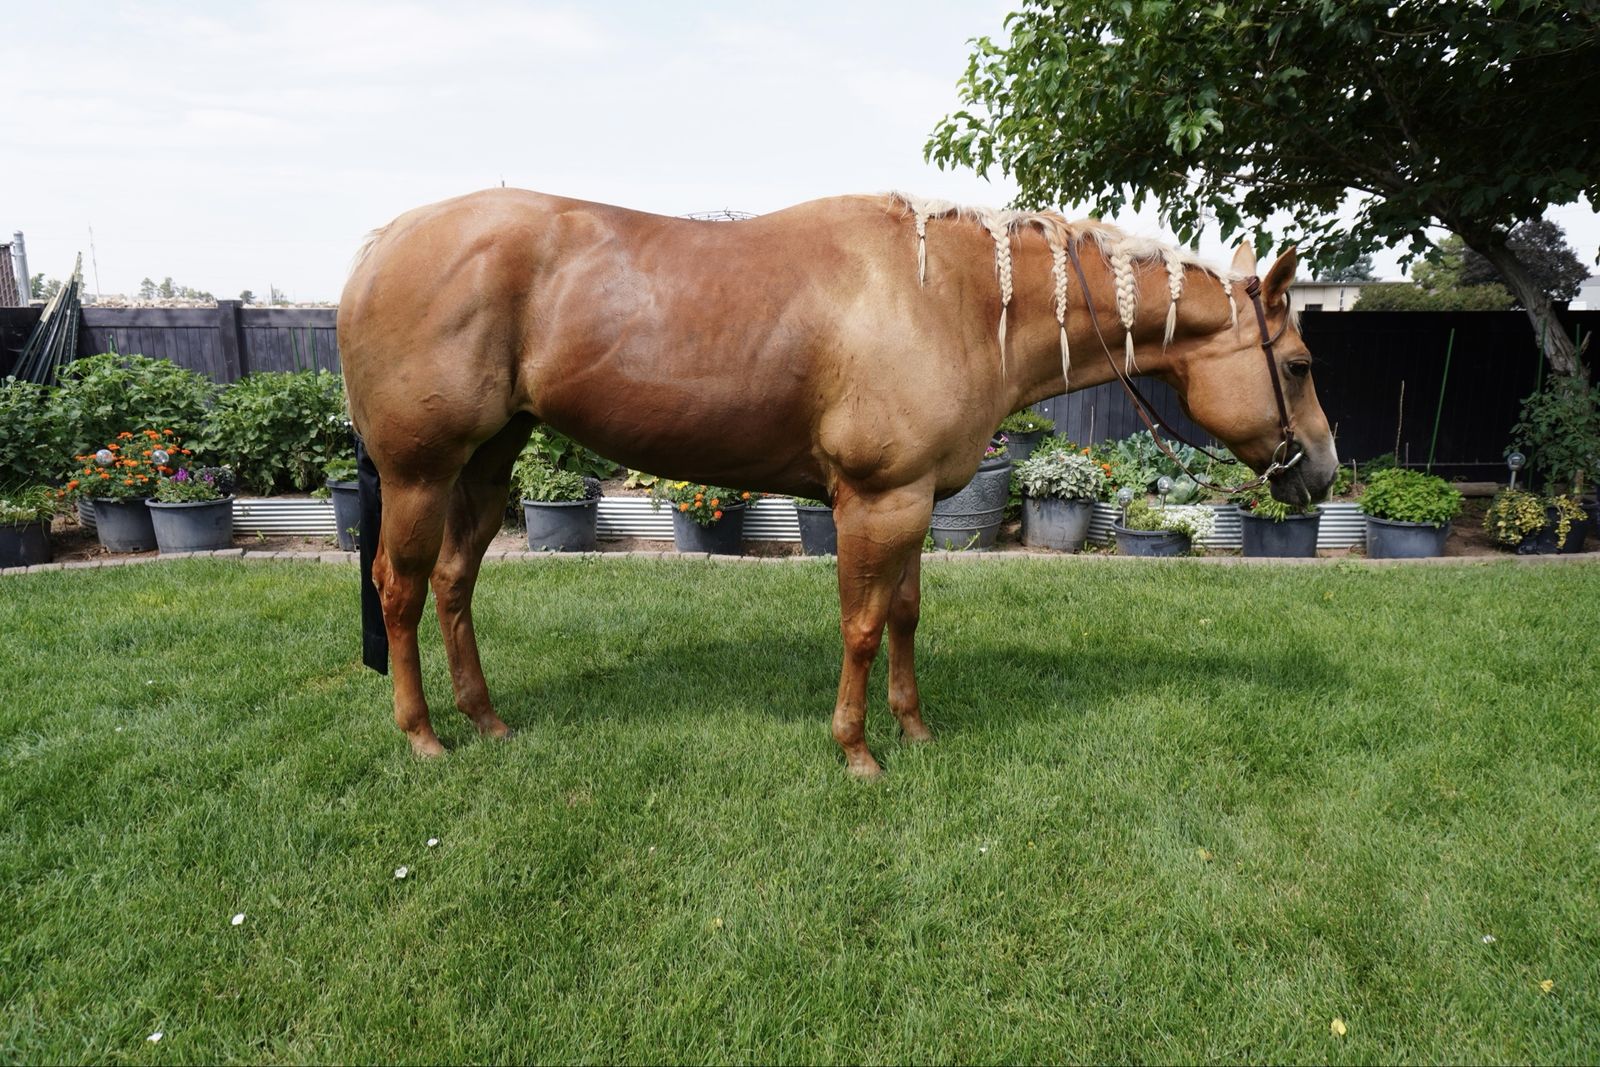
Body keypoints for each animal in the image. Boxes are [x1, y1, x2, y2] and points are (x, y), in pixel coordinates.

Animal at [337, 189, 1338, 777]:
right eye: (1296, 364)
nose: (1323, 472)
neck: (949, 297)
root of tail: (381, 244)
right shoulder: (875, 498)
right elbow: (860, 624)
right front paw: (857, 749)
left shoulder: (916, 500)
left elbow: (903, 617)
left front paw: (916, 729)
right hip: (422, 471)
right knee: (400, 588)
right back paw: (423, 733)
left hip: (488, 461)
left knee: (455, 583)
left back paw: (487, 720)